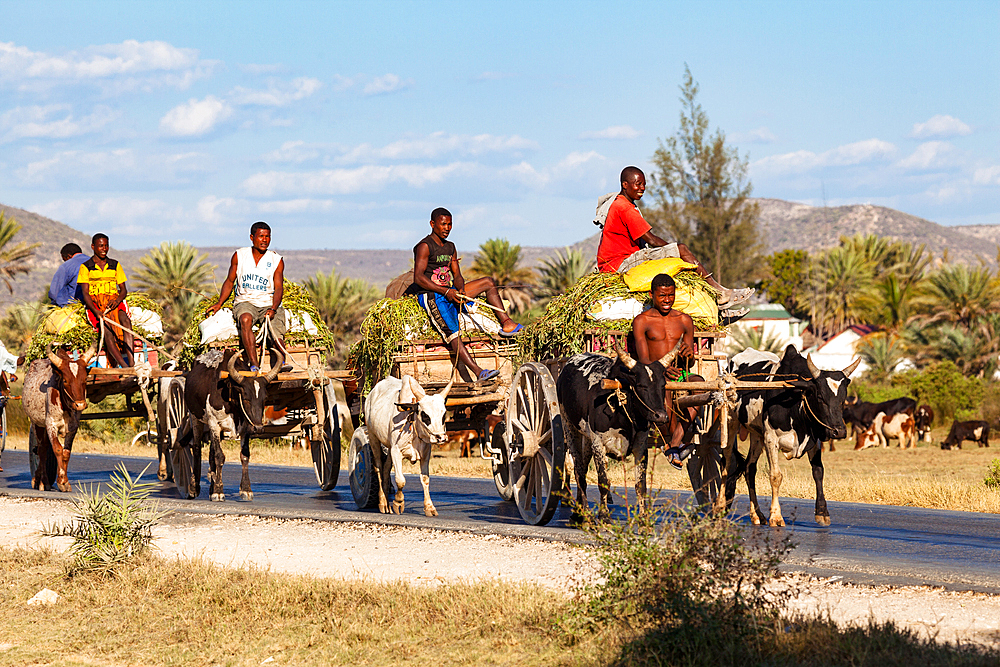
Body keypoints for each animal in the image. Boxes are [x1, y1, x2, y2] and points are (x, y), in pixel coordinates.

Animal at [23, 344, 98, 490]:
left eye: (85, 379)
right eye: (65, 380)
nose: (80, 405)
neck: (65, 407)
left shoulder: (73, 428)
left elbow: (66, 452)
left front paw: (65, 481)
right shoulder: (51, 425)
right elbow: (57, 449)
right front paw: (61, 481)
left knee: (44, 448)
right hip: (37, 424)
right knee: (41, 450)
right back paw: (42, 482)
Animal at [176, 350, 282, 500]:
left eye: (265, 398)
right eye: (246, 398)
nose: (259, 428)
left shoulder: (246, 428)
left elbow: (244, 456)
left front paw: (245, 489)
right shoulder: (214, 423)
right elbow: (219, 456)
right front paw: (218, 491)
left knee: (211, 452)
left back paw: (211, 487)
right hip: (195, 417)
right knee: (196, 448)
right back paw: (193, 488)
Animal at [364, 376, 450, 516]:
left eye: (444, 415)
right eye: (425, 415)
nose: (441, 438)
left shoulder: (425, 454)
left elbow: (425, 479)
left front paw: (429, 507)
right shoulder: (396, 451)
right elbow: (400, 480)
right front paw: (398, 502)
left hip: (389, 446)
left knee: (386, 468)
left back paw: (386, 502)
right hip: (373, 437)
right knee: (378, 467)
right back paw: (382, 502)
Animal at [720, 350, 860, 528]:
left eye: (843, 399)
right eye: (820, 396)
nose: (839, 431)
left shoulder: (813, 440)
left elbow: (818, 472)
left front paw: (822, 512)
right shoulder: (771, 439)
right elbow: (775, 476)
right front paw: (776, 516)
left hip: (756, 434)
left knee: (749, 469)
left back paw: (757, 515)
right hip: (730, 423)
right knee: (726, 465)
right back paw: (719, 506)